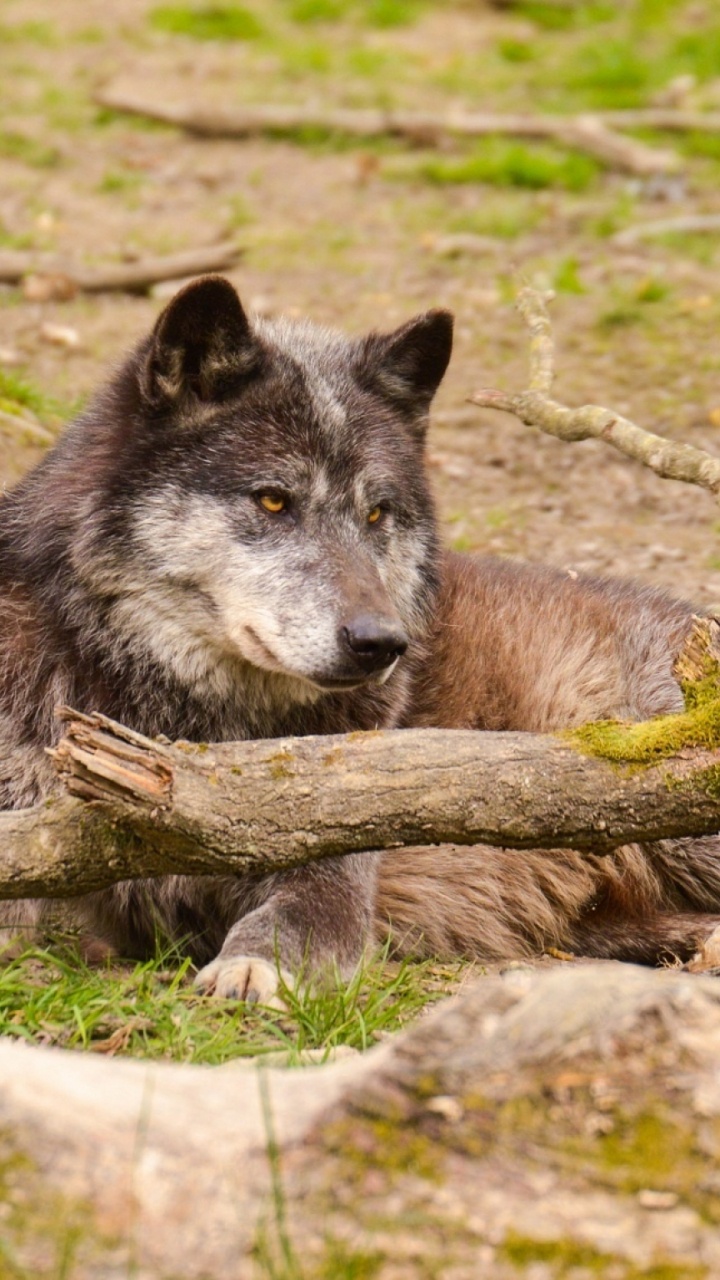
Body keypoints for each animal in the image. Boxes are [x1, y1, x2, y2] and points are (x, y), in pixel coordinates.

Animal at [1, 275, 718, 998]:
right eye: (273, 500)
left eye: (377, 513)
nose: (381, 642)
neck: (188, 725)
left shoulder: (331, 860)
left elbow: (295, 916)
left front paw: (251, 969)